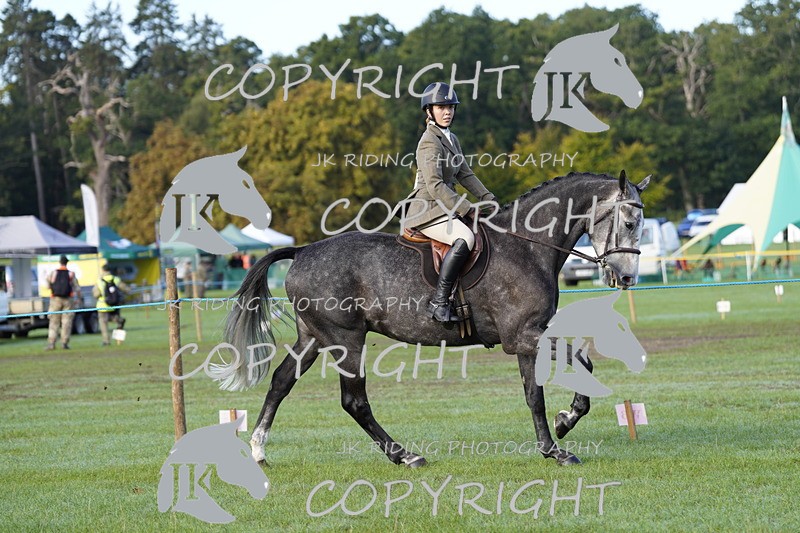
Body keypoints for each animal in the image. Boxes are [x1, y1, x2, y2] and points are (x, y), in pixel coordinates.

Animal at [214, 170, 650, 467]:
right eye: (629, 223)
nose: (627, 278)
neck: (527, 246)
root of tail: (303, 251)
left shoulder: (530, 335)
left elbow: (562, 376)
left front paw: (560, 430)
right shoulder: (524, 336)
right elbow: (549, 385)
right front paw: (558, 441)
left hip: (314, 336)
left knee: (281, 382)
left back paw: (258, 450)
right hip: (345, 338)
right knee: (354, 400)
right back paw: (404, 456)